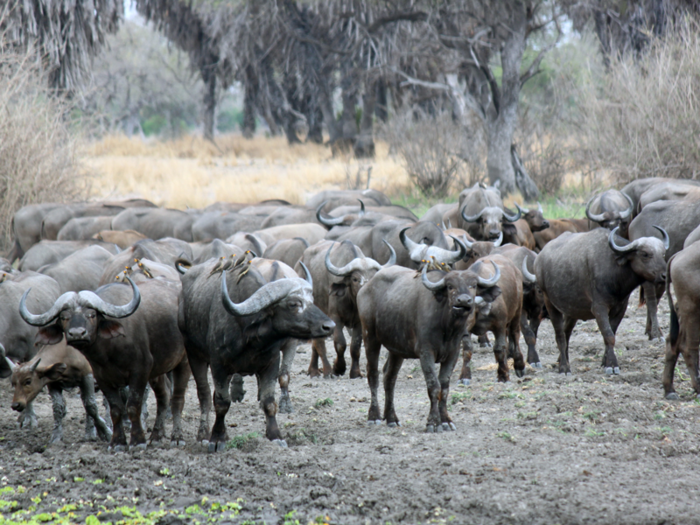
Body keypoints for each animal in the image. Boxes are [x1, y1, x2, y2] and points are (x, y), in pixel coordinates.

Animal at [20, 276, 190, 448]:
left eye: (92, 314)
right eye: (64, 317)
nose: (77, 334)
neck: (109, 352)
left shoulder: (140, 372)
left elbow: (133, 405)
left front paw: (137, 441)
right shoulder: (102, 378)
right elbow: (115, 409)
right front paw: (118, 442)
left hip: (183, 362)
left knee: (177, 398)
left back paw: (177, 438)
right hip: (158, 369)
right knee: (164, 395)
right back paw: (156, 436)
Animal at [358, 262, 500, 430]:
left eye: (473, 285)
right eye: (450, 286)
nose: (463, 301)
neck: (447, 328)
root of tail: (366, 287)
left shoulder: (453, 353)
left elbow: (444, 387)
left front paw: (445, 420)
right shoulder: (425, 353)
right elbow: (433, 385)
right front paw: (433, 422)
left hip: (396, 349)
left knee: (389, 377)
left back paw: (392, 418)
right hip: (369, 336)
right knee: (373, 374)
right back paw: (374, 416)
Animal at [536, 227, 668, 374]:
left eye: (663, 254)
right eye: (645, 254)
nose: (664, 275)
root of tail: (540, 258)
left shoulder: (621, 308)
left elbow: (611, 333)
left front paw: (605, 362)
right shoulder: (599, 308)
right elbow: (609, 335)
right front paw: (612, 365)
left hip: (572, 310)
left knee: (566, 332)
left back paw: (561, 360)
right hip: (550, 303)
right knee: (560, 335)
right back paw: (564, 367)